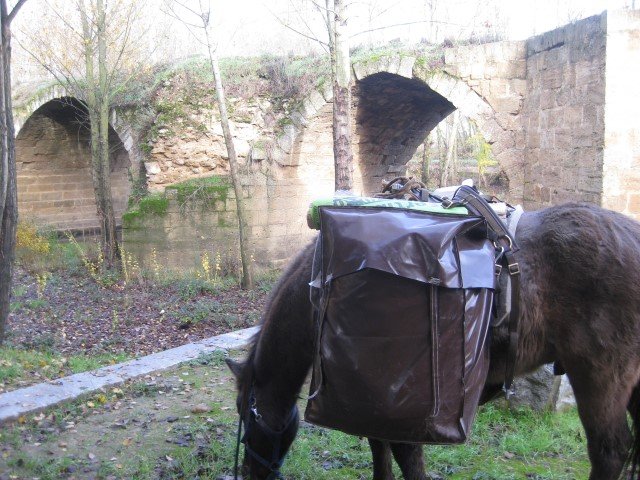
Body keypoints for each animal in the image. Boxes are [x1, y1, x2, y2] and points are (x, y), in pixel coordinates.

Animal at [226, 202, 640, 480]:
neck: (320, 289)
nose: (249, 472)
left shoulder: (397, 408)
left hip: (599, 380)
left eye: (247, 415)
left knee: (610, 451)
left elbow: (406, 457)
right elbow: (379, 449)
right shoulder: (368, 402)